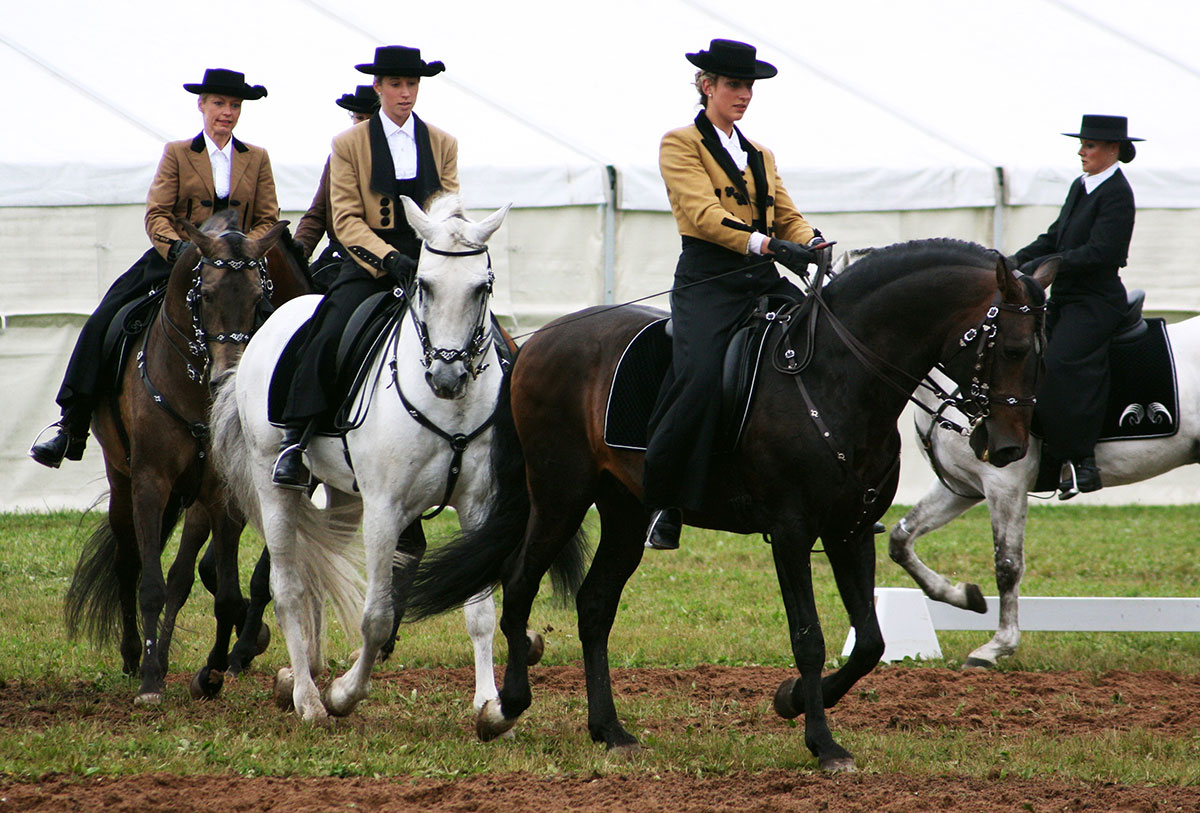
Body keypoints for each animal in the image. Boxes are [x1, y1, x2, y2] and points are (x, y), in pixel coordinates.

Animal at [64, 210, 289, 705]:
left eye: (260, 299)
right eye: (205, 295)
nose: (227, 376)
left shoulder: (221, 493)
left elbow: (222, 593)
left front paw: (215, 672)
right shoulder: (151, 482)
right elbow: (151, 585)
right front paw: (150, 681)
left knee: (185, 574)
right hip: (122, 482)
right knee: (128, 564)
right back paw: (135, 657)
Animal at [210, 193, 580, 722]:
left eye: (482, 287)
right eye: (423, 284)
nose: (447, 377)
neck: (450, 408)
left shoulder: (478, 507)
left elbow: (480, 612)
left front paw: (488, 703)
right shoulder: (385, 510)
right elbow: (377, 617)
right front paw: (344, 694)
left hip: (341, 494)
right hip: (272, 480)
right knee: (287, 588)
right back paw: (307, 698)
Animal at [405, 239, 1054, 771]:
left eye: (1039, 352)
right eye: (1012, 347)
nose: (1008, 448)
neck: (839, 378)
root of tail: (540, 341)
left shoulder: (850, 530)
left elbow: (870, 642)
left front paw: (791, 702)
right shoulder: (792, 531)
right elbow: (809, 637)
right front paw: (823, 743)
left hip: (625, 511)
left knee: (594, 607)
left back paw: (610, 731)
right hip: (560, 495)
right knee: (519, 583)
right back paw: (504, 710)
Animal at [889, 314, 1200, 668]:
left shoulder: (1004, 484)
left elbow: (1007, 564)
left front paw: (995, 647)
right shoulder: (962, 487)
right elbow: (900, 539)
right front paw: (963, 595)